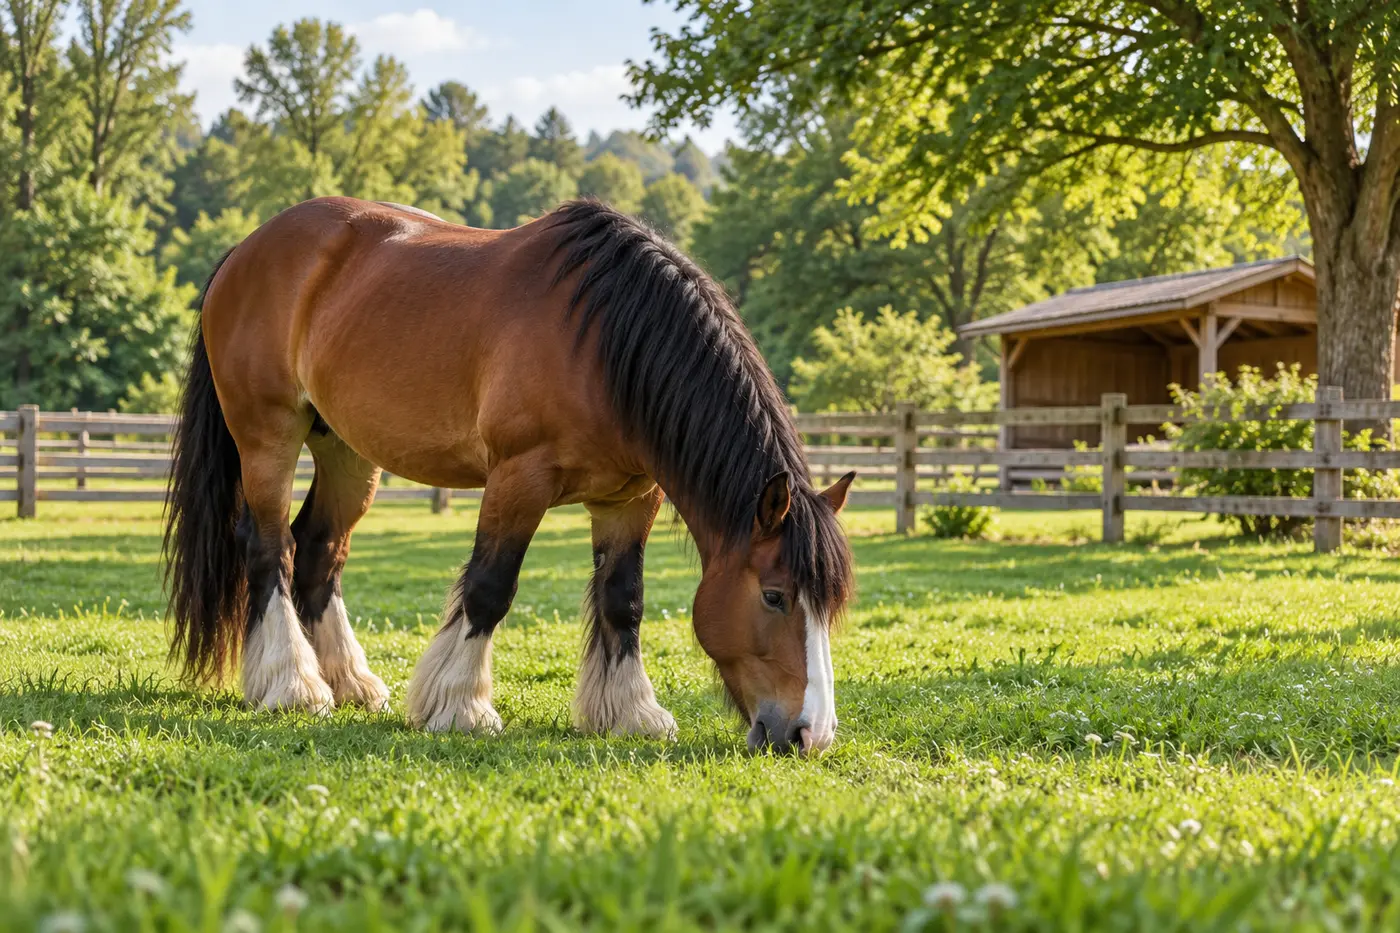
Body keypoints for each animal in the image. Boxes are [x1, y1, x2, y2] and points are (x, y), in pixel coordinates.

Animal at [163, 196, 856, 755]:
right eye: (775, 595)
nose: (810, 734)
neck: (603, 340)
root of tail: (247, 249)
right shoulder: (520, 478)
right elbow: (490, 587)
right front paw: (460, 707)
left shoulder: (632, 498)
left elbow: (623, 600)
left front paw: (630, 713)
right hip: (268, 436)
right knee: (268, 548)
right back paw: (292, 685)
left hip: (346, 451)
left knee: (317, 549)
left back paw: (352, 683)